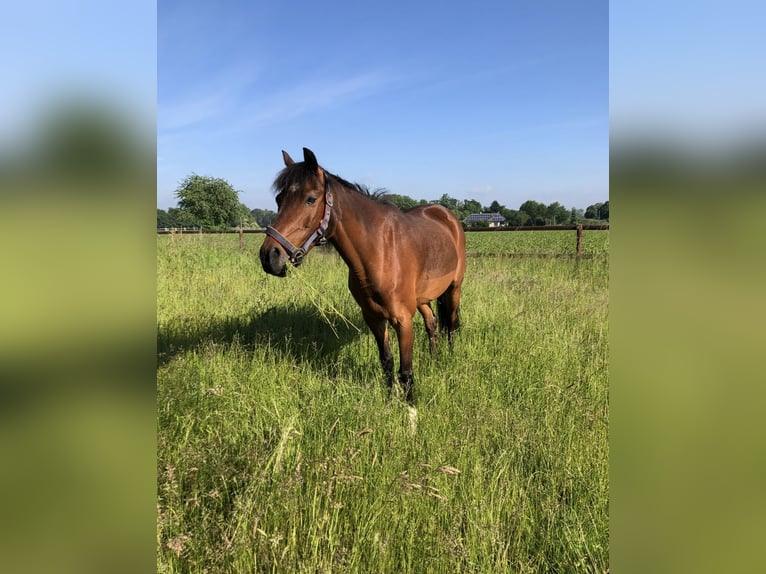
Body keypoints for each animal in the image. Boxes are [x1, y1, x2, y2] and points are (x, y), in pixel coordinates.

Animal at [259, 148, 466, 402]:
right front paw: (389, 401)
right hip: (422, 298)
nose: (269, 256)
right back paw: (434, 359)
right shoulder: (373, 317)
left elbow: (406, 372)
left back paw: (450, 358)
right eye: (279, 199)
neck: (381, 250)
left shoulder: (403, 320)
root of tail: (446, 215)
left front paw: (410, 407)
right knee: (432, 322)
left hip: (454, 288)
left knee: (452, 324)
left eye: (311, 199)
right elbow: (387, 362)